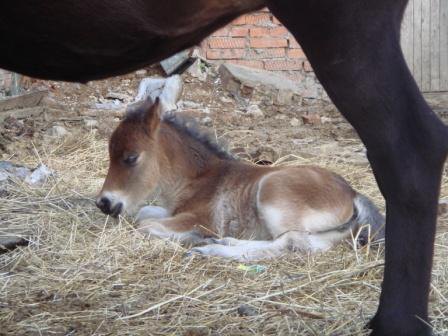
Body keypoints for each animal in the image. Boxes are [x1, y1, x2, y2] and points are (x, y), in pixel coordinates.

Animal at [96, 98, 384, 262]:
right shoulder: (172, 211)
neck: (199, 179)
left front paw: (195, 237)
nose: (103, 203)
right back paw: (222, 242)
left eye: (131, 157)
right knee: (302, 245)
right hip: (330, 234)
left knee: (291, 244)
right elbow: (144, 213)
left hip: (272, 193)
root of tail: (353, 194)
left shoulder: (200, 218)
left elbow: (145, 226)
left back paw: (210, 248)